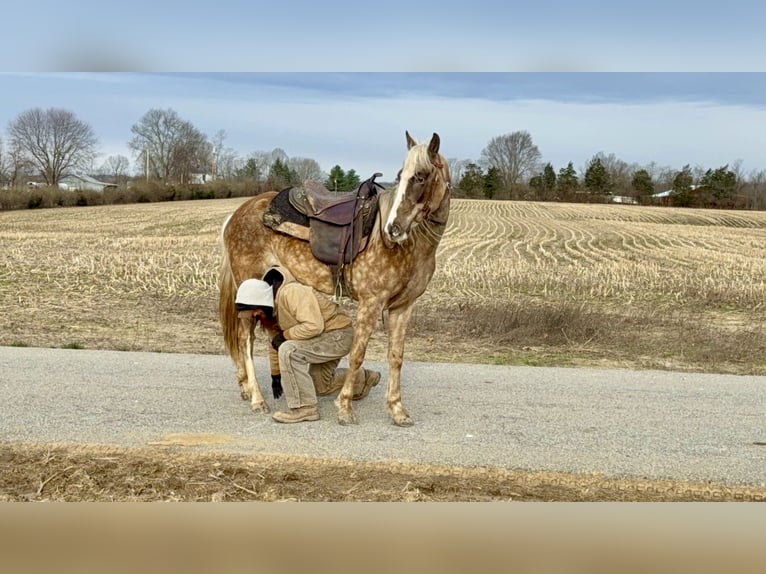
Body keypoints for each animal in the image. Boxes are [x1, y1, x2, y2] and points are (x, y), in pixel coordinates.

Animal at [218, 131, 451, 426]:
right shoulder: (371, 303)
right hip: (248, 286)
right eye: (402, 175)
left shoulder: (403, 308)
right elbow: (357, 354)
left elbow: (396, 357)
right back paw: (257, 399)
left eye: (420, 176)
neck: (408, 247)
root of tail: (236, 214)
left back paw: (247, 388)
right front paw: (345, 408)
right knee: (244, 341)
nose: (393, 229)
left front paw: (397, 409)